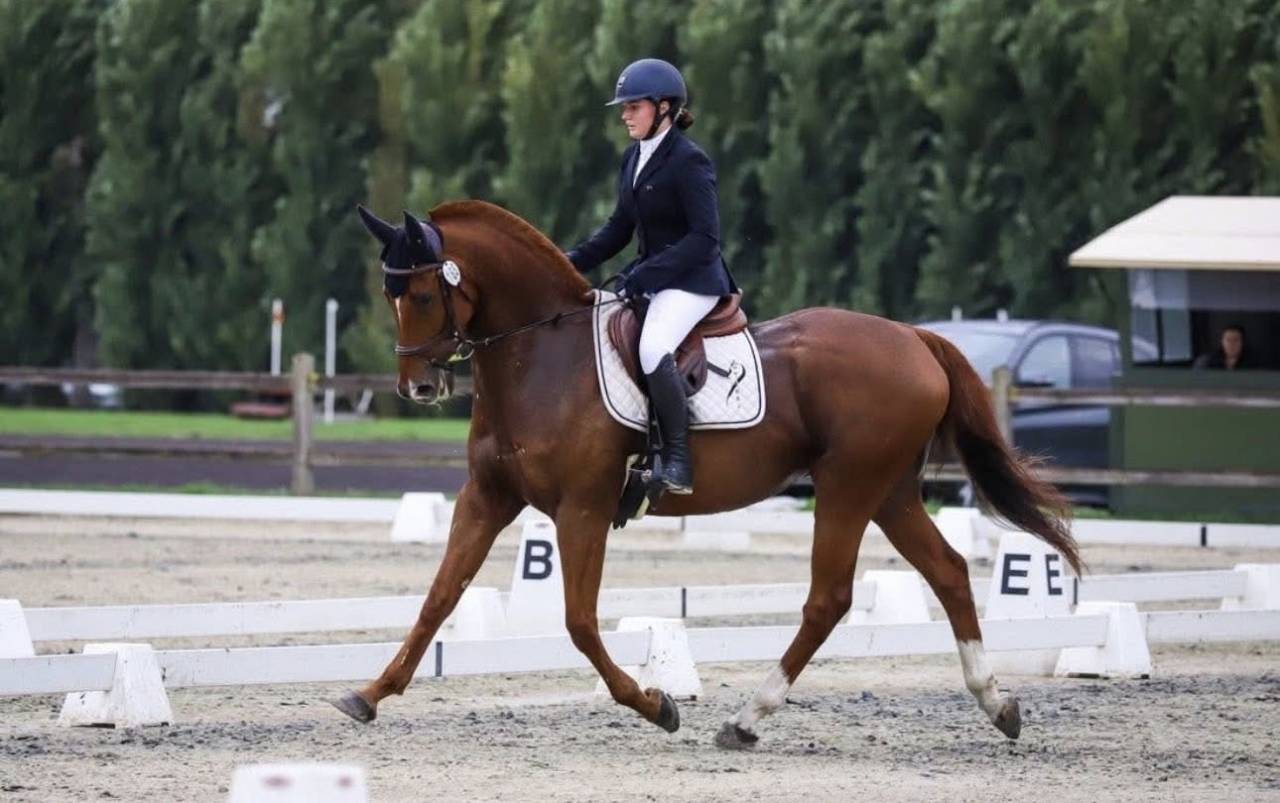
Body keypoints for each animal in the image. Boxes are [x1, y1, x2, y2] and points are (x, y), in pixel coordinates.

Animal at [335, 200, 1081, 749]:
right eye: (389, 293)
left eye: (423, 293)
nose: (417, 387)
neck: (540, 355)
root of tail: (913, 337)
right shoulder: (487, 497)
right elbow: (438, 598)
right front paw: (368, 694)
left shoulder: (582, 507)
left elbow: (579, 621)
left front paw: (655, 702)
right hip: (890, 491)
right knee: (948, 571)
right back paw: (998, 704)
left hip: (848, 486)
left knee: (828, 598)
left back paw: (747, 718)